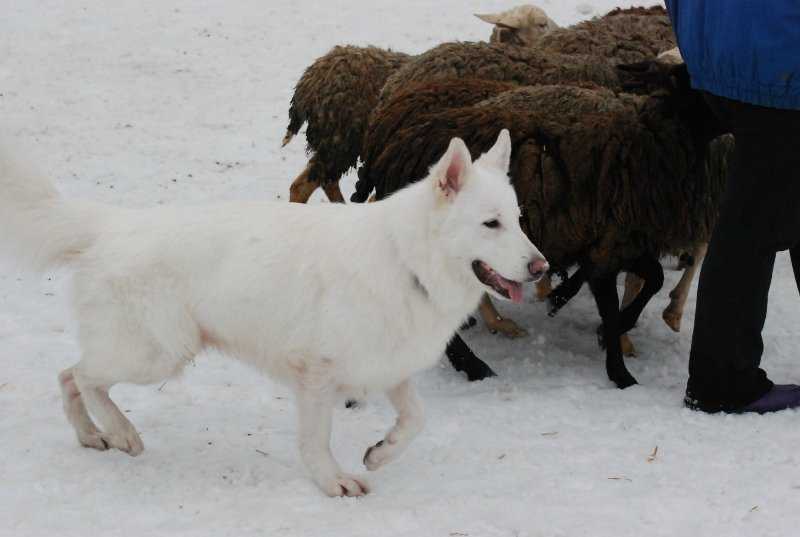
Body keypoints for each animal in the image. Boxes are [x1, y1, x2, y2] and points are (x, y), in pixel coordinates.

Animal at [0, 130, 544, 494]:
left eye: (518, 220)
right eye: (490, 224)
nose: (541, 267)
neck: (406, 259)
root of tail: (113, 225)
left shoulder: (387, 366)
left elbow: (416, 419)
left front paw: (380, 453)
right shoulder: (317, 376)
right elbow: (317, 440)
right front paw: (332, 481)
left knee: (68, 376)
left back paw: (91, 435)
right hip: (156, 354)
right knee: (83, 376)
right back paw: (119, 430)